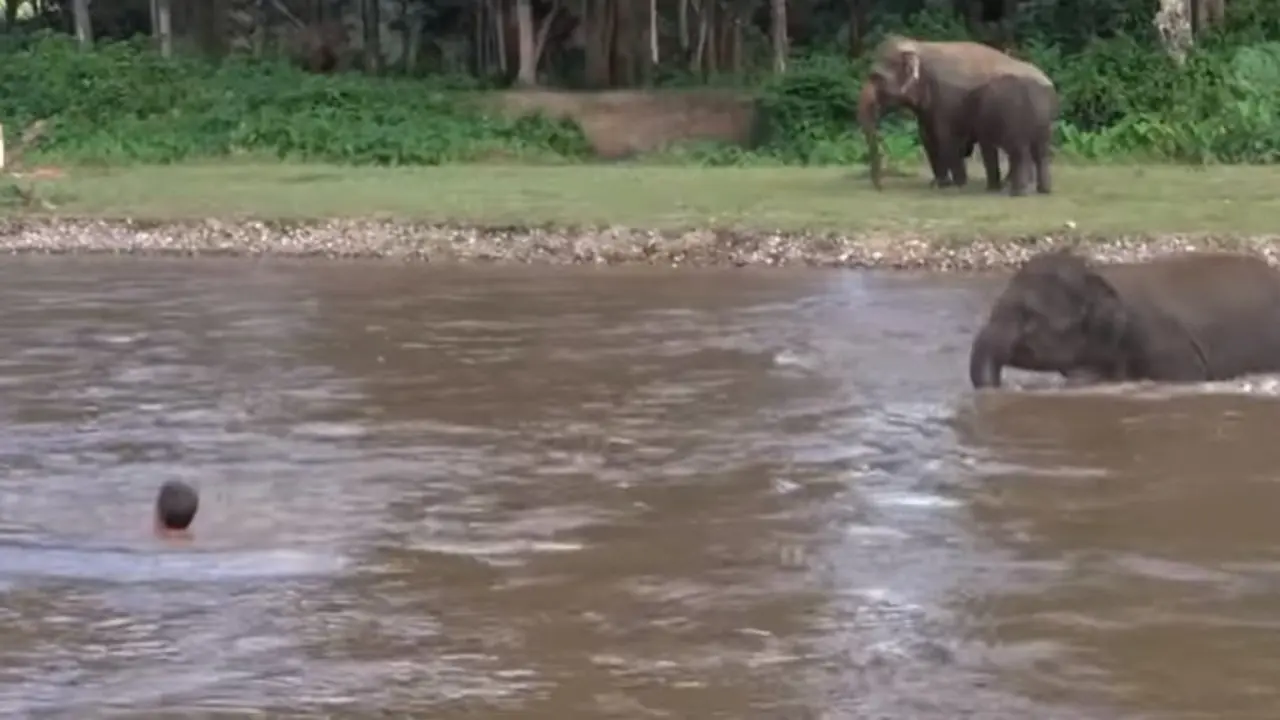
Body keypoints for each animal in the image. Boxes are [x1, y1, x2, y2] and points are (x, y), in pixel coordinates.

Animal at [859, 34, 1053, 191]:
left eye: (876, 77)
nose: (880, 187)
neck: (921, 46)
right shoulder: (928, 108)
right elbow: (927, 138)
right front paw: (938, 183)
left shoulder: (948, 99)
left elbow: (945, 137)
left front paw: (956, 183)